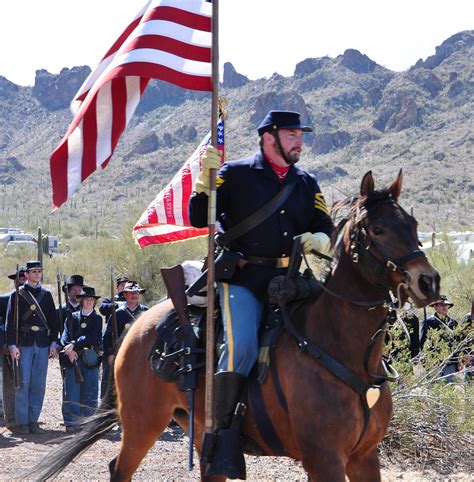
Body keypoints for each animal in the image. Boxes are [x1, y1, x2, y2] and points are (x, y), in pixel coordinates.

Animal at [26, 171, 440, 480]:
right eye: (378, 229)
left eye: (414, 223)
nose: (428, 282)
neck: (340, 348)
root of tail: (139, 324)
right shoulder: (324, 459)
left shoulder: (364, 457)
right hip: (142, 422)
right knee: (120, 469)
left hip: (198, 428)